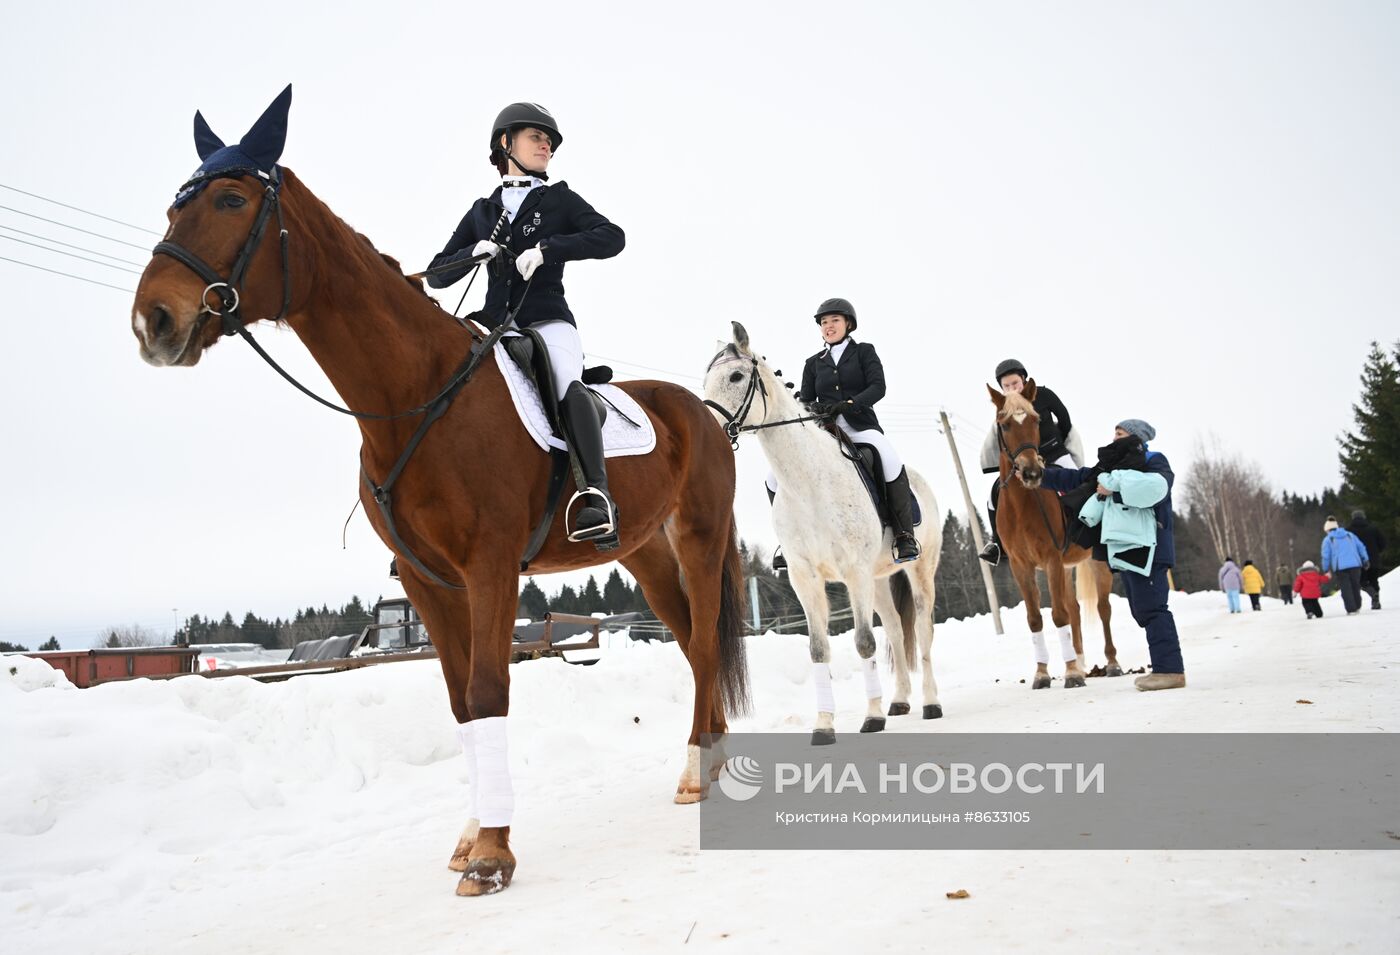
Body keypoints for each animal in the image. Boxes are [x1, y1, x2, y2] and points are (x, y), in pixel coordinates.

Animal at [705, 322, 946, 744]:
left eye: (735, 376)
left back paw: (930, 704)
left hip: (917, 571)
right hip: (877, 580)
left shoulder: (853, 572)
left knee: (922, 626)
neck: (808, 481)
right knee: (896, 630)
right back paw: (899, 702)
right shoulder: (805, 577)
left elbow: (864, 642)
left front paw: (871, 718)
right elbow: (818, 649)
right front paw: (823, 725)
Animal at [991, 378, 1120, 683]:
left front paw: (1070, 673)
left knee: (1103, 608)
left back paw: (1110, 663)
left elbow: (1059, 615)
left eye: (1036, 420)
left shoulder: (1051, 558)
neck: (1022, 503)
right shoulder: (1021, 565)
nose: (1031, 473)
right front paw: (1042, 673)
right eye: (1004, 424)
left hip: (1095, 561)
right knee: (1075, 609)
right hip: (1067, 565)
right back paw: (1082, 662)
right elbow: (1035, 618)